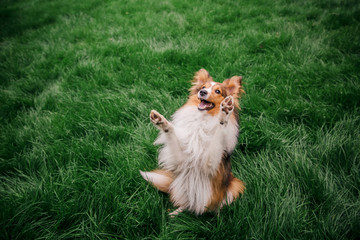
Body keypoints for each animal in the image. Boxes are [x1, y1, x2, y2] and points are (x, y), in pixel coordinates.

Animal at [139, 69, 246, 216]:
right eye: (203, 87)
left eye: (218, 91)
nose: (203, 92)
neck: (202, 121)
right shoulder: (180, 160)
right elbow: (171, 132)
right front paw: (161, 122)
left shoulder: (210, 163)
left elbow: (219, 129)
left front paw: (224, 113)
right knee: (185, 205)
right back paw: (174, 213)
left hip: (235, 185)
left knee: (219, 204)